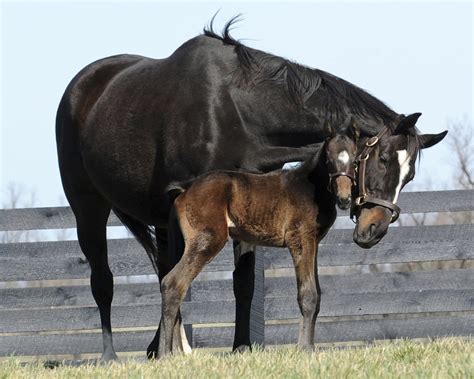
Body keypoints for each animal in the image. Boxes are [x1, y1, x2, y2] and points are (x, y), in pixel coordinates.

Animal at [158, 134, 356, 360]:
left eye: (355, 160)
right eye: (329, 160)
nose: (344, 198)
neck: (308, 185)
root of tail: (185, 189)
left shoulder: (313, 242)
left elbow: (318, 294)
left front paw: (310, 346)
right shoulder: (300, 240)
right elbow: (308, 294)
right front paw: (305, 349)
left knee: (169, 284)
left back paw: (173, 353)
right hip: (207, 241)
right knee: (173, 283)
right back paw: (165, 355)